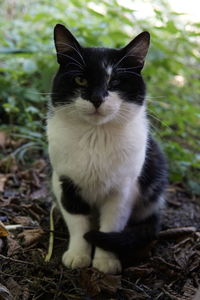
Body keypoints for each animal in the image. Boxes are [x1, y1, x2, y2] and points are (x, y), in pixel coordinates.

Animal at [46, 24, 167, 274]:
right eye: (80, 80)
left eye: (115, 82)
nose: (97, 98)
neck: (96, 136)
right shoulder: (65, 182)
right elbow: (78, 222)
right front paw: (78, 255)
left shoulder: (123, 190)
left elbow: (111, 225)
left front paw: (105, 261)